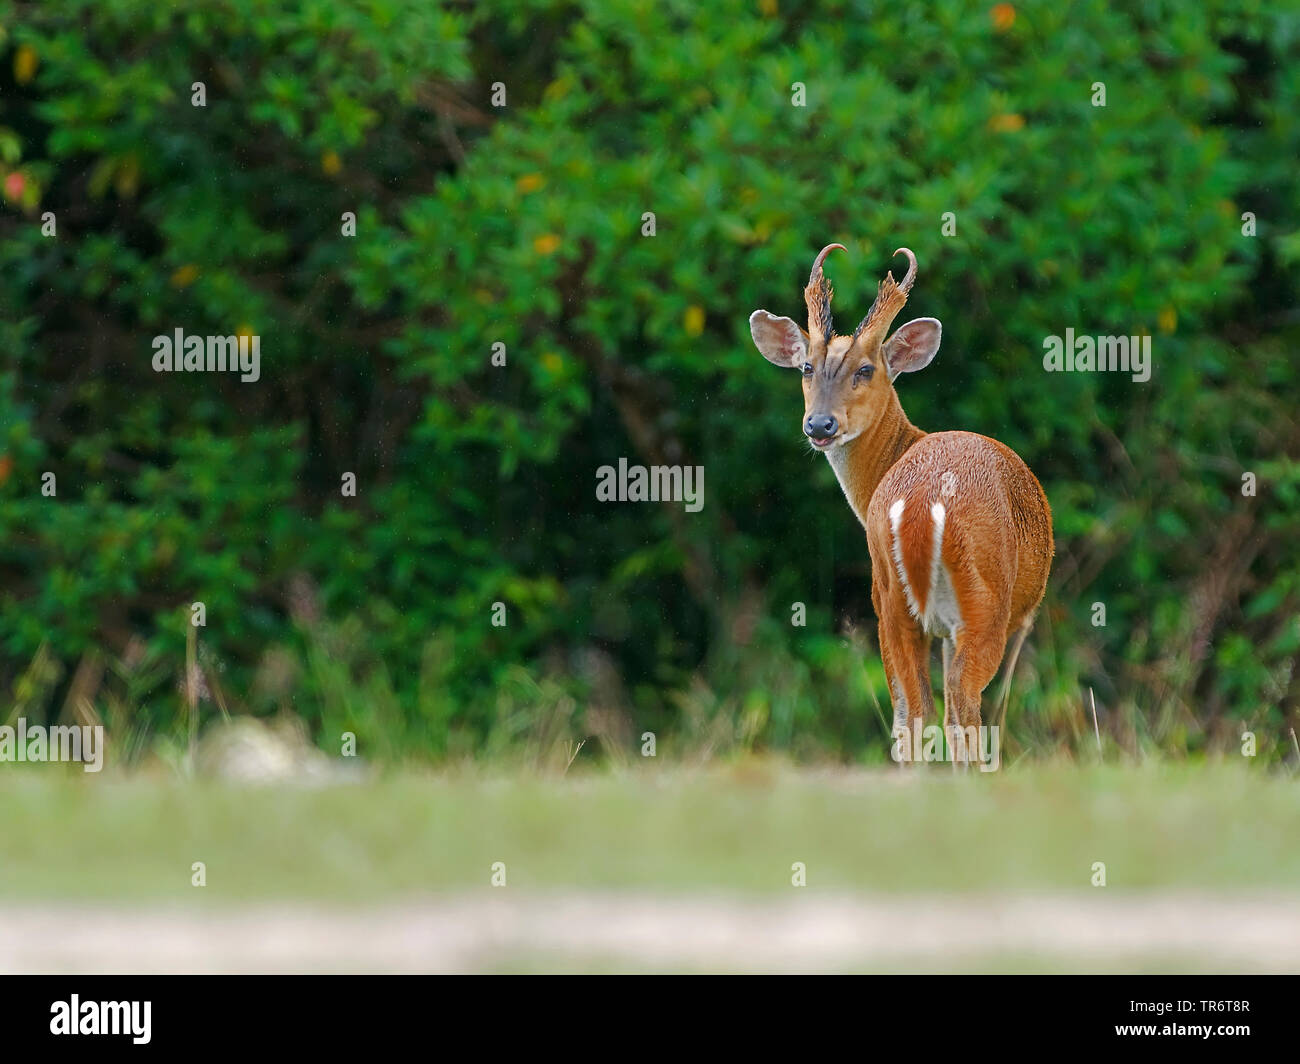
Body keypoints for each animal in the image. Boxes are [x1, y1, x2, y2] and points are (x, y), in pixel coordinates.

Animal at [759, 244, 1050, 759]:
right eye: (806, 367)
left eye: (865, 369)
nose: (820, 425)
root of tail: (922, 502)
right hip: (980, 600)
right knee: (954, 708)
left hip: (891, 592)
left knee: (918, 713)